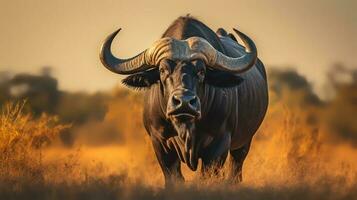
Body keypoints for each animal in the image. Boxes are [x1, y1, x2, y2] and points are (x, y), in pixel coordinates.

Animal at [100, 16, 268, 186]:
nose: (184, 102)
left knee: (235, 171)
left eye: (201, 71)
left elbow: (207, 177)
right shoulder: (160, 143)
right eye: (162, 70)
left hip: (243, 144)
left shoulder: (219, 144)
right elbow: (174, 178)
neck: (185, 128)